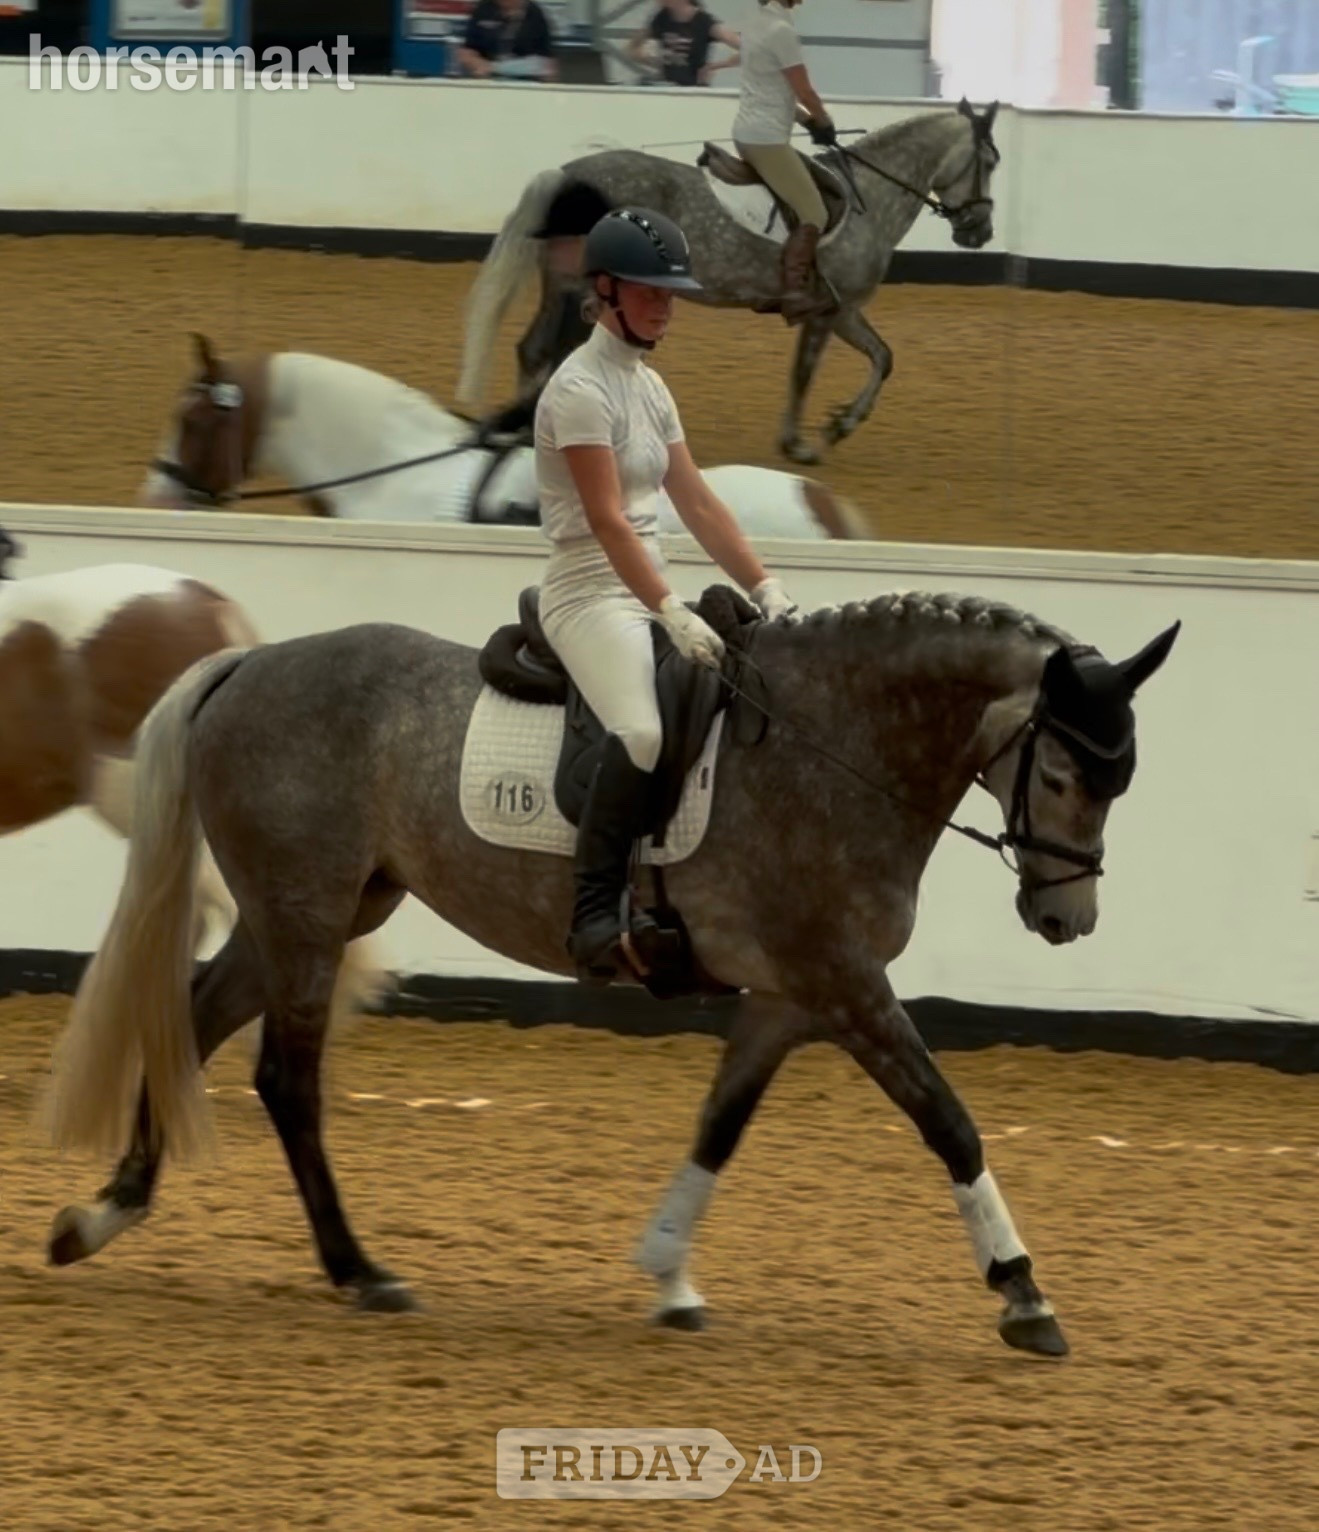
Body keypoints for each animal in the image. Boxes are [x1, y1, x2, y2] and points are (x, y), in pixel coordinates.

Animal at [43, 579, 1179, 1360]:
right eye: (1065, 774)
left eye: (1119, 782)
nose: (1065, 917)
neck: (835, 744)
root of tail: (249, 663)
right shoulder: (844, 982)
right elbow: (948, 1120)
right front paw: (1023, 1293)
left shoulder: (789, 995)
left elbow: (719, 1124)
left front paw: (668, 1274)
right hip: (308, 916)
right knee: (284, 1077)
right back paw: (359, 1272)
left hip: (308, 912)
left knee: (192, 1020)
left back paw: (102, 1214)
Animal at [456, 100, 1001, 465]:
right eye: (991, 162)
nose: (980, 232)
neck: (871, 198)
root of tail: (568, 173)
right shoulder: (828, 311)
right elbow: (806, 373)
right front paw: (800, 443)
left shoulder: (843, 310)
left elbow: (884, 358)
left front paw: (841, 424)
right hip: (585, 291)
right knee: (554, 353)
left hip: (562, 287)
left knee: (535, 349)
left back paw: (523, 431)